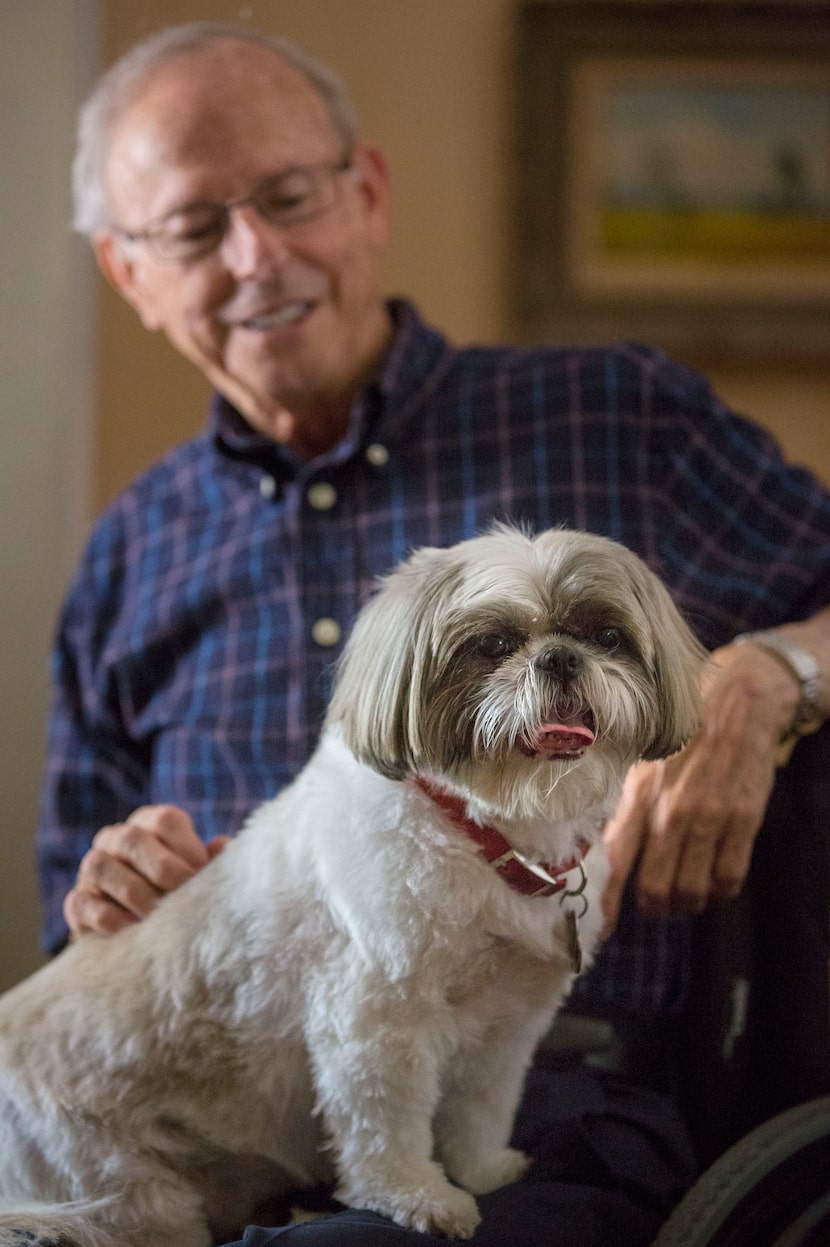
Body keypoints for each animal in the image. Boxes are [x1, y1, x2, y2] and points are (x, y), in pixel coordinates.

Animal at [0, 526, 702, 1247]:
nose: (560, 658)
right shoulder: (375, 1021)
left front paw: (482, 1170)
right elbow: (387, 1127)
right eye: (493, 646)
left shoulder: (506, 1022)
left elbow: (480, 1106)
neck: (488, 837)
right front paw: (422, 1197)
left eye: (606, 636)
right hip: (120, 1188)